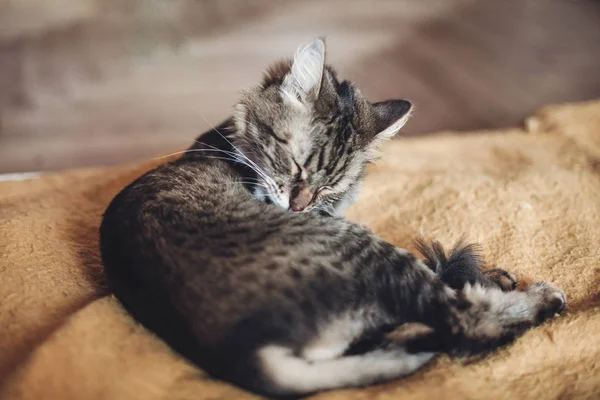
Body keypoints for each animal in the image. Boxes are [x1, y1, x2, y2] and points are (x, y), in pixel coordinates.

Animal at [99, 38, 568, 396]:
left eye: (330, 186)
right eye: (297, 166)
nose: (299, 207)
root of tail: (243, 355)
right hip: (371, 252)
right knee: (463, 324)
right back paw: (538, 297)